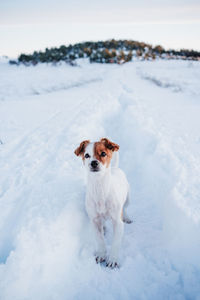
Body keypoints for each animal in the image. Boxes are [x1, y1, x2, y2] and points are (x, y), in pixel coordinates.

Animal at [74, 137, 132, 268]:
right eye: (87, 155)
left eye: (103, 153)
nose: (94, 163)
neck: (100, 188)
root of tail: (115, 168)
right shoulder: (95, 221)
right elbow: (99, 239)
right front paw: (101, 254)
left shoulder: (117, 222)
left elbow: (116, 242)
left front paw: (113, 259)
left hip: (128, 199)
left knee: (125, 208)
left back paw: (127, 217)